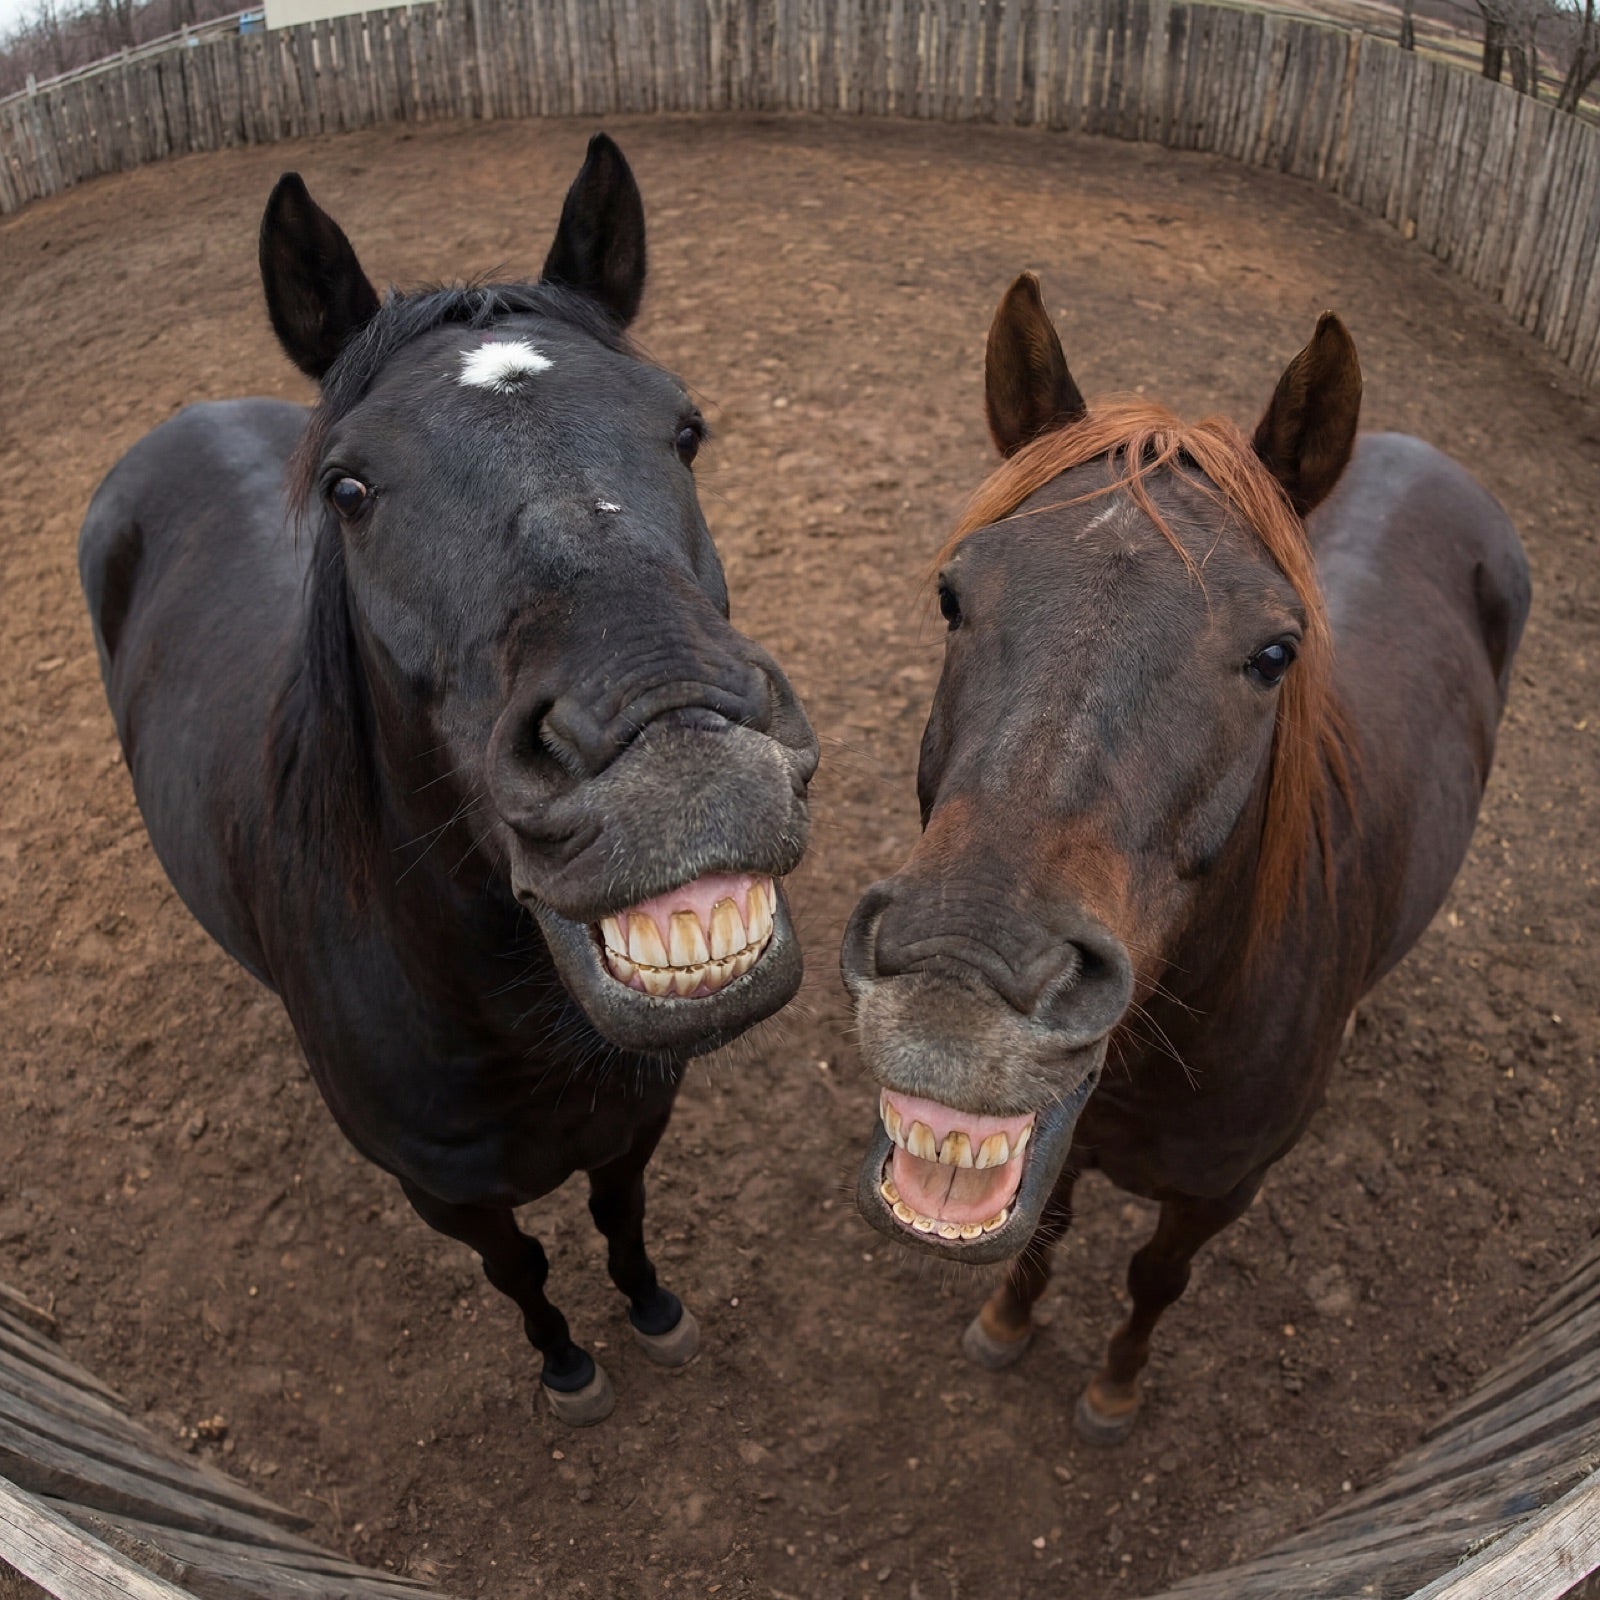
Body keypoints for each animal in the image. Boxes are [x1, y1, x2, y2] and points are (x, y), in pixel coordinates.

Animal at [79, 135, 818, 1426]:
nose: (676, 748)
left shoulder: (637, 1116)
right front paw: (567, 1364)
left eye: (684, 429)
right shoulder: (449, 1197)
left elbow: (620, 1215)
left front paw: (652, 1310)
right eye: (349, 487)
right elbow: (519, 1270)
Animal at [842, 271, 1530, 1442]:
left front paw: (1115, 1388)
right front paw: (1006, 1322)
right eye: (951, 597)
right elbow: (1047, 1226)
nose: (957, 981)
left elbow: (1154, 1279)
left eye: (1275, 652)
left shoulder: (1218, 1196)